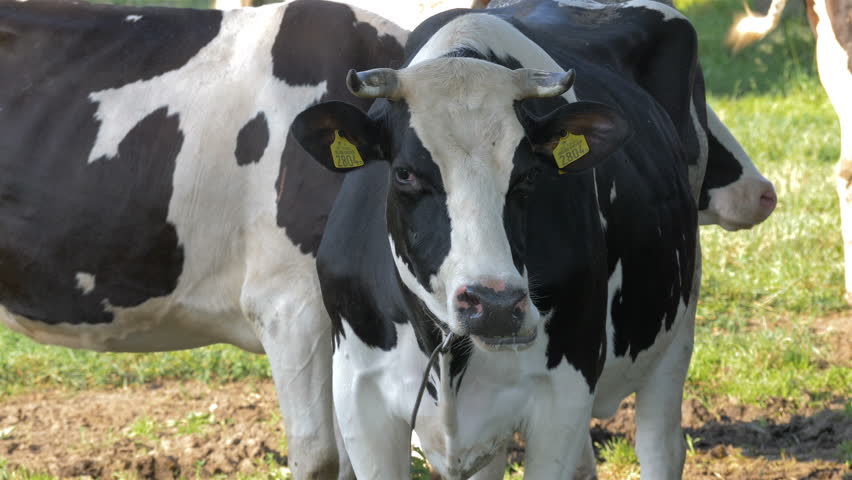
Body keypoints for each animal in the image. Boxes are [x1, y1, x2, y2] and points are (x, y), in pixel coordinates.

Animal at [288, 0, 715, 477]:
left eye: (528, 175)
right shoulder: (358, 393)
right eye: (405, 173)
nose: (494, 305)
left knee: (660, 443)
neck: (448, 354)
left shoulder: (566, 391)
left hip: (678, 323)